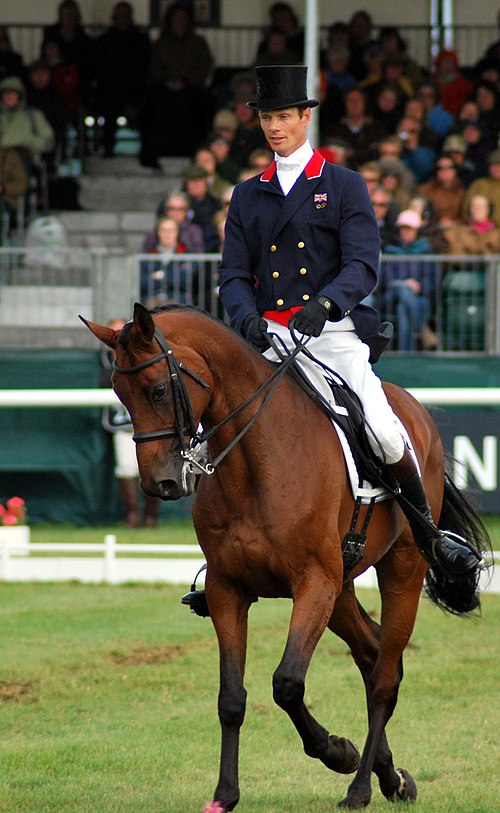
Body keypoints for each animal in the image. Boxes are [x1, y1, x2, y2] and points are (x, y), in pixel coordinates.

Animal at [83, 304, 492, 812]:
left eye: (158, 389)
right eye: (119, 394)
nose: (160, 484)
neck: (255, 464)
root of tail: (414, 408)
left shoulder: (313, 585)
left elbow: (287, 683)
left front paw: (337, 752)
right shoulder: (228, 589)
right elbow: (231, 697)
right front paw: (225, 795)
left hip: (401, 569)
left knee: (383, 677)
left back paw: (360, 787)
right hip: (342, 589)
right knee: (372, 652)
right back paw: (391, 776)